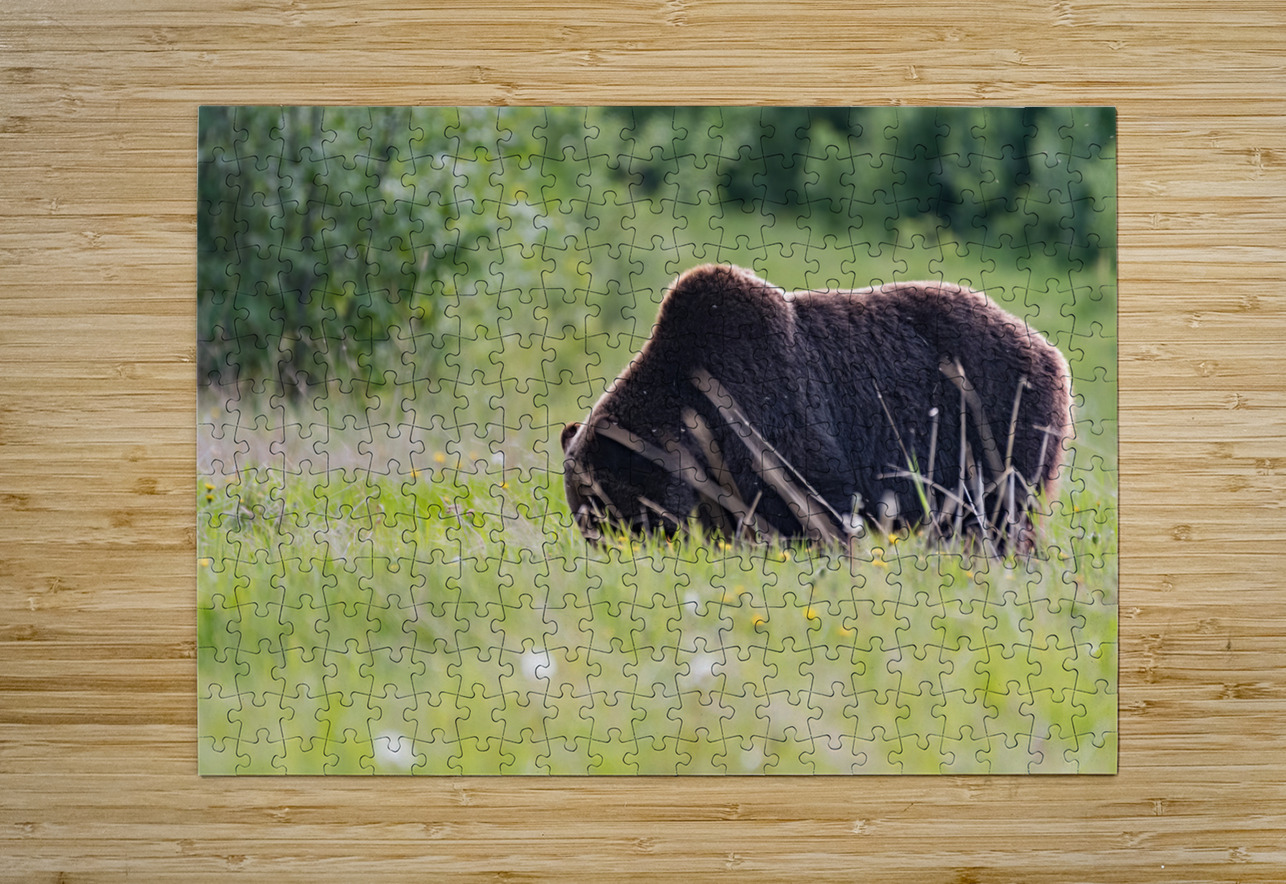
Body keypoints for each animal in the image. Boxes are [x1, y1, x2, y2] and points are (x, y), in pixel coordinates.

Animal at [561, 263, 1072, 549]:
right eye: (583, 515)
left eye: (605, 512)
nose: (605, 552)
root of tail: (1050, 351)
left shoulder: (770, 410)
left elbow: (812, 499)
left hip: (996, 425)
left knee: (999, 519)